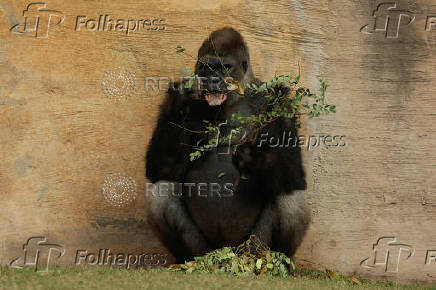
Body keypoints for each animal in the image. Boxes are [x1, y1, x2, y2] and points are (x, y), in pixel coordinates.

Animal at [145, 27, 308, 262]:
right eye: (206, 68)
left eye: (225, 67)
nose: (213, 81)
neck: (237, 95)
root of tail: (227, 254)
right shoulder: (170, 98)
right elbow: (161, 167)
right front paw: (182, 97)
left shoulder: (280, 101)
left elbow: (294, 173)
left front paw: (257, 159)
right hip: (206, 251)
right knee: (162, 189)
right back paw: (186, 261)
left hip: (250, 249)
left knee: (290, 193)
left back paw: (278, 261)